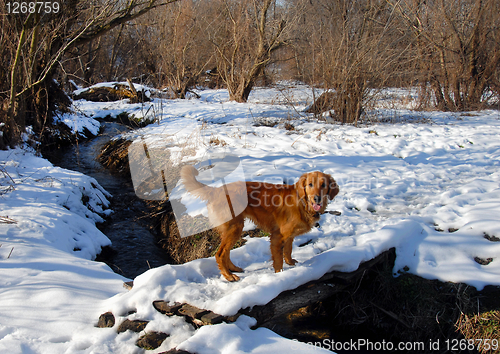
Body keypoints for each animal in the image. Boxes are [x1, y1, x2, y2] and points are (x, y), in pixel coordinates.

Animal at [180, 165, 340, 280]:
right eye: (310, 184)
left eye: (323, 185)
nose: (317, 199)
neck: (302, 202)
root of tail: (216, 190)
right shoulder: (277, 236)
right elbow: (278, 260)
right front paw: (281, 275)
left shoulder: (289, 236)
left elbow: (288, 251)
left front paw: (291, 263)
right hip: (235, 227)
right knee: (220, 254)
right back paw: (229, 276)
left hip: (233, 229)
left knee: (226, 252)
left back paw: (233, 269)